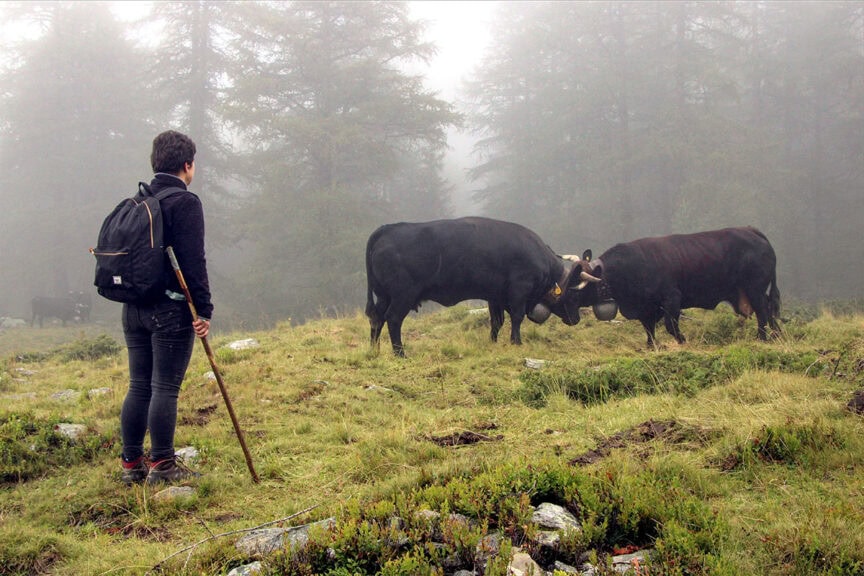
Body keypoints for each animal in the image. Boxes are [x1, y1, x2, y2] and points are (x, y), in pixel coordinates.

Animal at [365, 217, 599, 356]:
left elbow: (497, 321)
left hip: (383, 295)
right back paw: (400, 353)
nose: (576, 319)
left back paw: (374, 350)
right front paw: (516, 342)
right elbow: (517, 317)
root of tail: (387, 229)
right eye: (575, 296)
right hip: (403, 295)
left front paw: (493, 342)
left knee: (377, 318)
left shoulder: (495, 296)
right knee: (393, 318)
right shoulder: (519, 290)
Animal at [569, 226, 782, 347]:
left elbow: (670, 325)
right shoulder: (647, 308)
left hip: (755, 288)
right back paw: (776, 335)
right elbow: (648, 328)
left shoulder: (671, 299)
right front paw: (652, 346)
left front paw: (682, 341)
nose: (563, 306)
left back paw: (762, 338)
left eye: (577, 288)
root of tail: (751, 230)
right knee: (770, 308)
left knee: (763, 311)